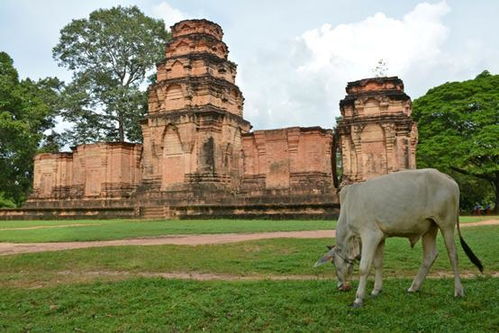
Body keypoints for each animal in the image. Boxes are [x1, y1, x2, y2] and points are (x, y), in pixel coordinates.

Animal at [316, 169, 484, 306]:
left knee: (453, 254)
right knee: (430, 255)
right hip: (430, 227)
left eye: (333, 263)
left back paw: (458, 291)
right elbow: (378, 264)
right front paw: (376, 290)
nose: (341, 287)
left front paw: (358, 298)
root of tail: (448, 178)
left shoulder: (370, 234)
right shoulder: (380, 236)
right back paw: (414, 287)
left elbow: (365, 267)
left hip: (446, 224)